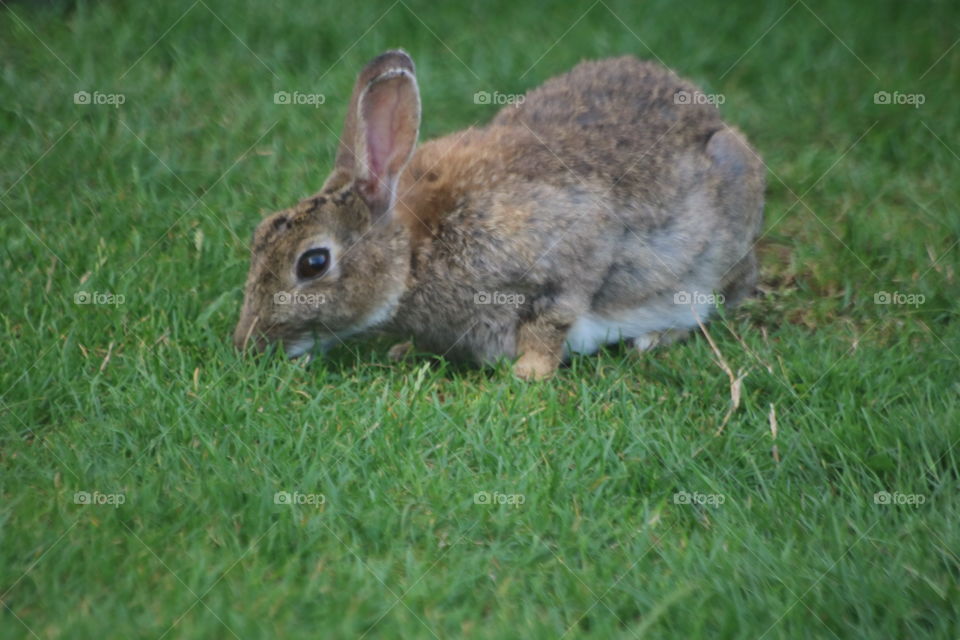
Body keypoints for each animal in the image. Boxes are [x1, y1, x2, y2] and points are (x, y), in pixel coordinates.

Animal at [234, 49, 764, 380]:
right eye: (259, 235)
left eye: (312, 263)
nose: (246, 344)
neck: (414, 254)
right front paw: (403, 350)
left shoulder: (569, 250)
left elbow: (554, 317)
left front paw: (527, 374)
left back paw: (653, 339)